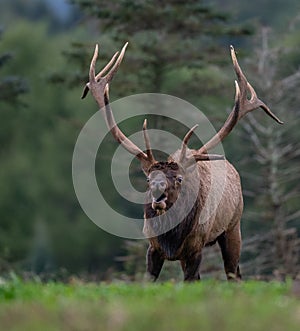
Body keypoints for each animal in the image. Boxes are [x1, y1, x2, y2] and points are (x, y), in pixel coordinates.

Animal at [81, 42, 282, 282]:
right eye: (148, 179)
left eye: (178, 179)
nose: (158, 190)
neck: (171, 239)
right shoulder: (153, 247)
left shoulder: (195, 247)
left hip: (234, 227)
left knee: (234, 274)